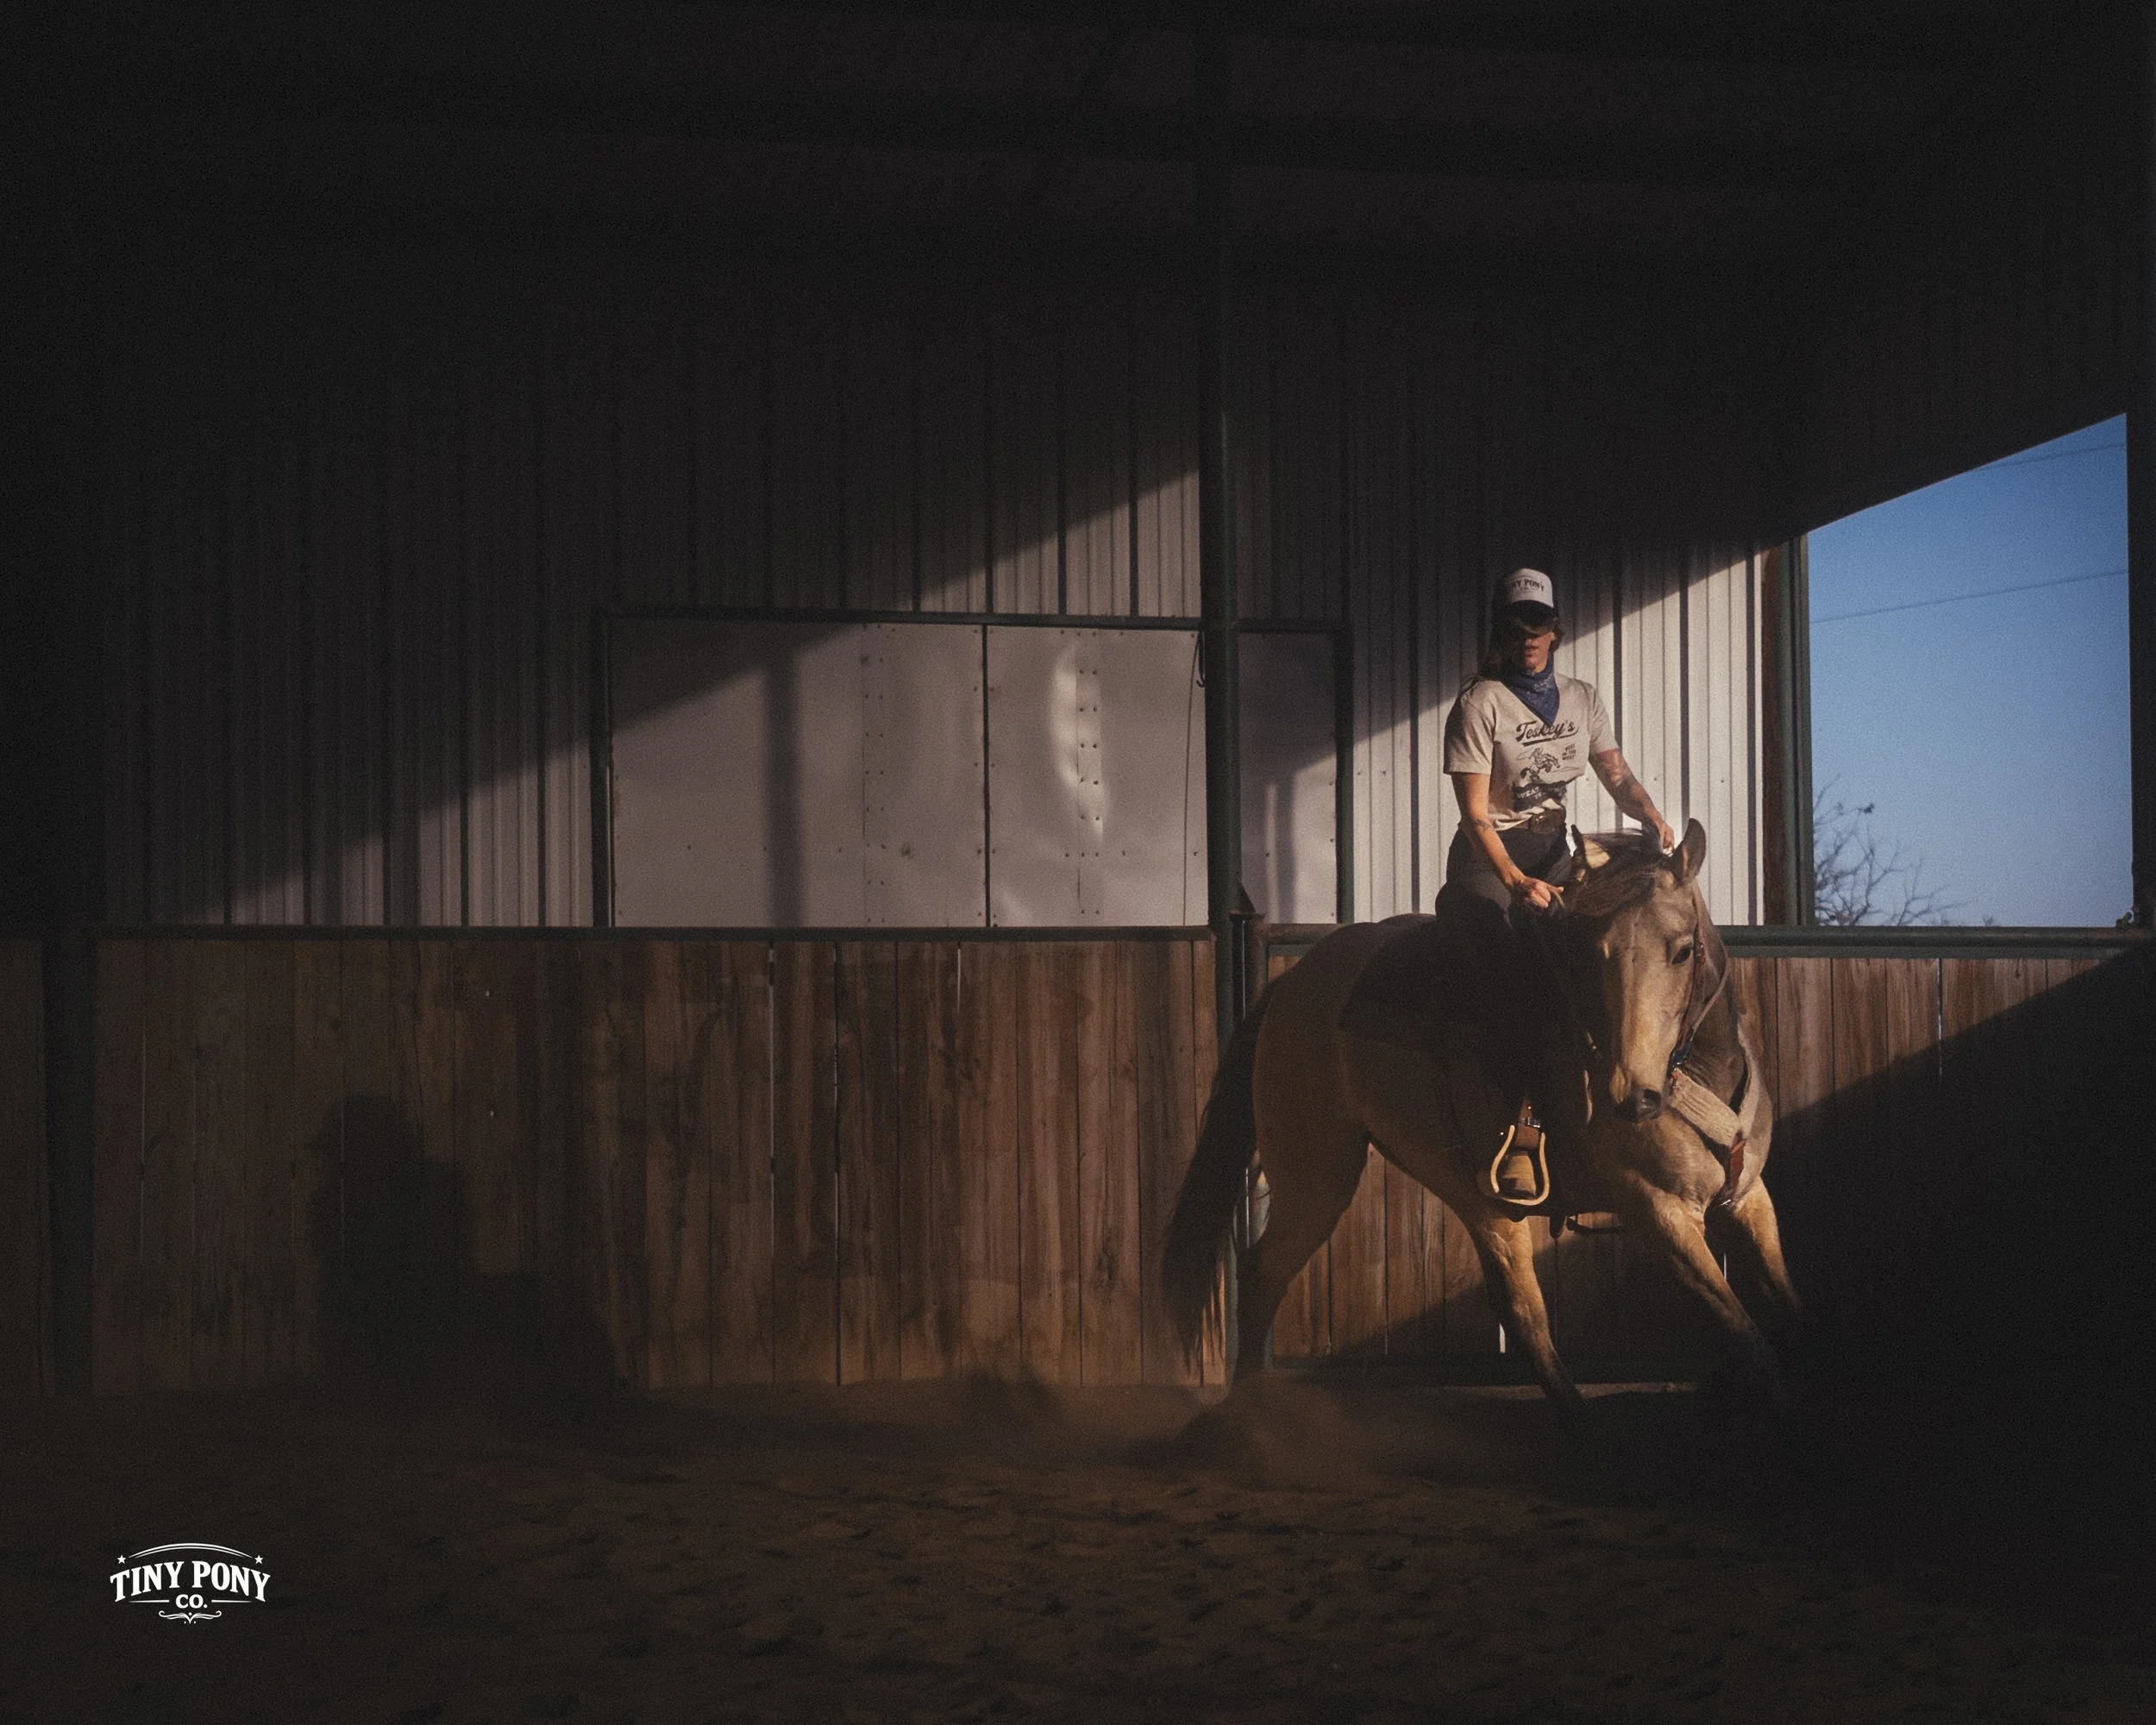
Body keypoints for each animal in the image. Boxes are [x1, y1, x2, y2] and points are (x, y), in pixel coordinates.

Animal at [1162, 820, 1802, 1436]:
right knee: (1267, 1273)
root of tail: (1289, 988)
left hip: (1473, 1194)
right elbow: (1748, 1335)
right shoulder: (1659, 1212)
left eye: (1683, 950)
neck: (1699, 1072)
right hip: (1317, 1178)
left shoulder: (1749, 1198)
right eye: (1594, 955)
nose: (1631, 1095)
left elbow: (1788, 1312)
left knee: (1515, 1304)